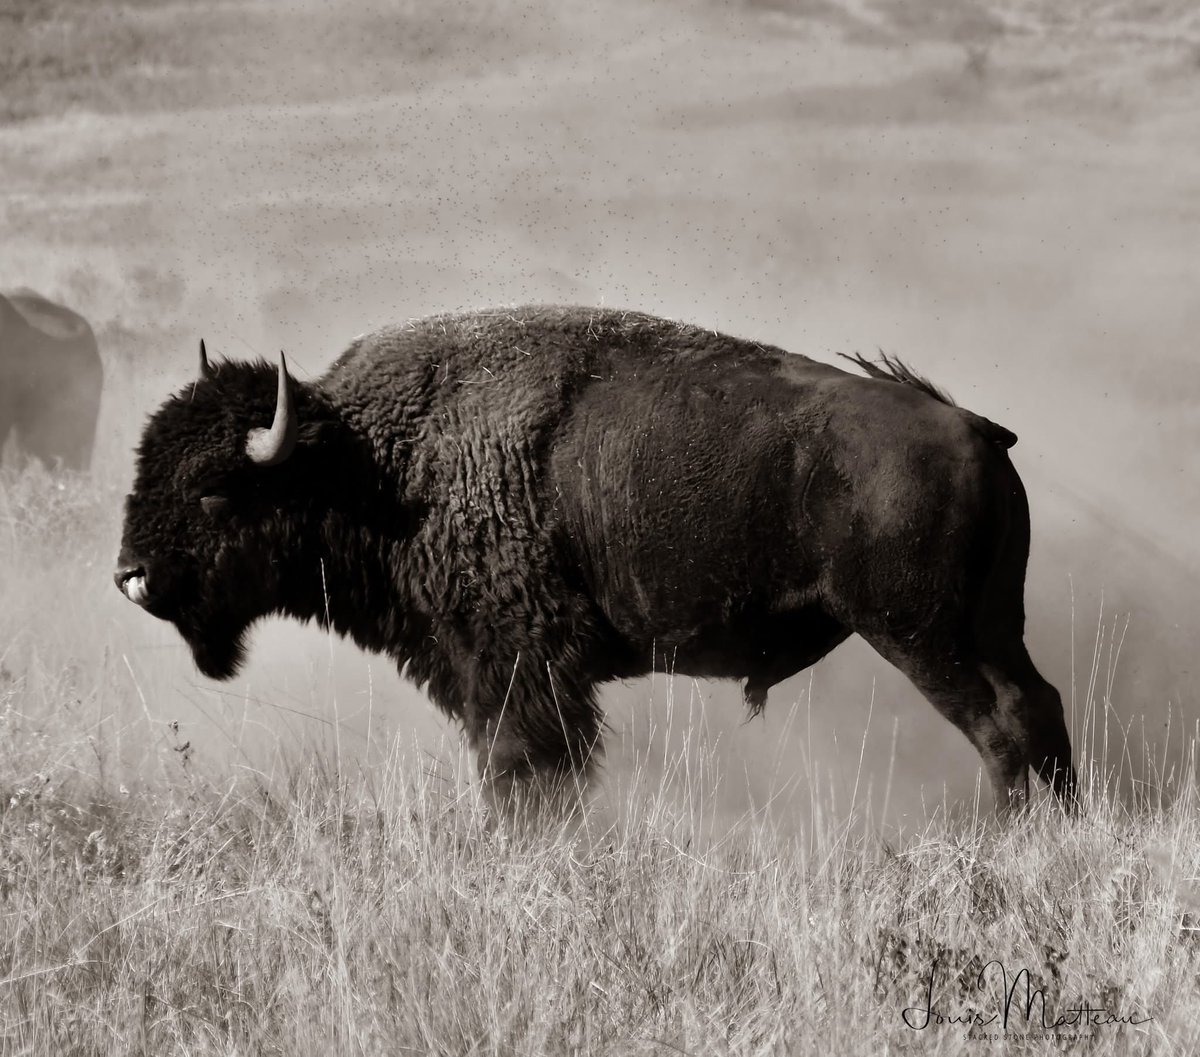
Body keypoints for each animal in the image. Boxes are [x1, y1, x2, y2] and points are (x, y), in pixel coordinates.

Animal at [115, 306, 1075, 811]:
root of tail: (971, 426)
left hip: (922, 634)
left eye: (212, 490)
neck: (371, 462)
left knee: (1003, 723)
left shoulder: (520, 672)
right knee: (1039, 708)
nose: (130, 575)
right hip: (991, 626)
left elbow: (526, 771)